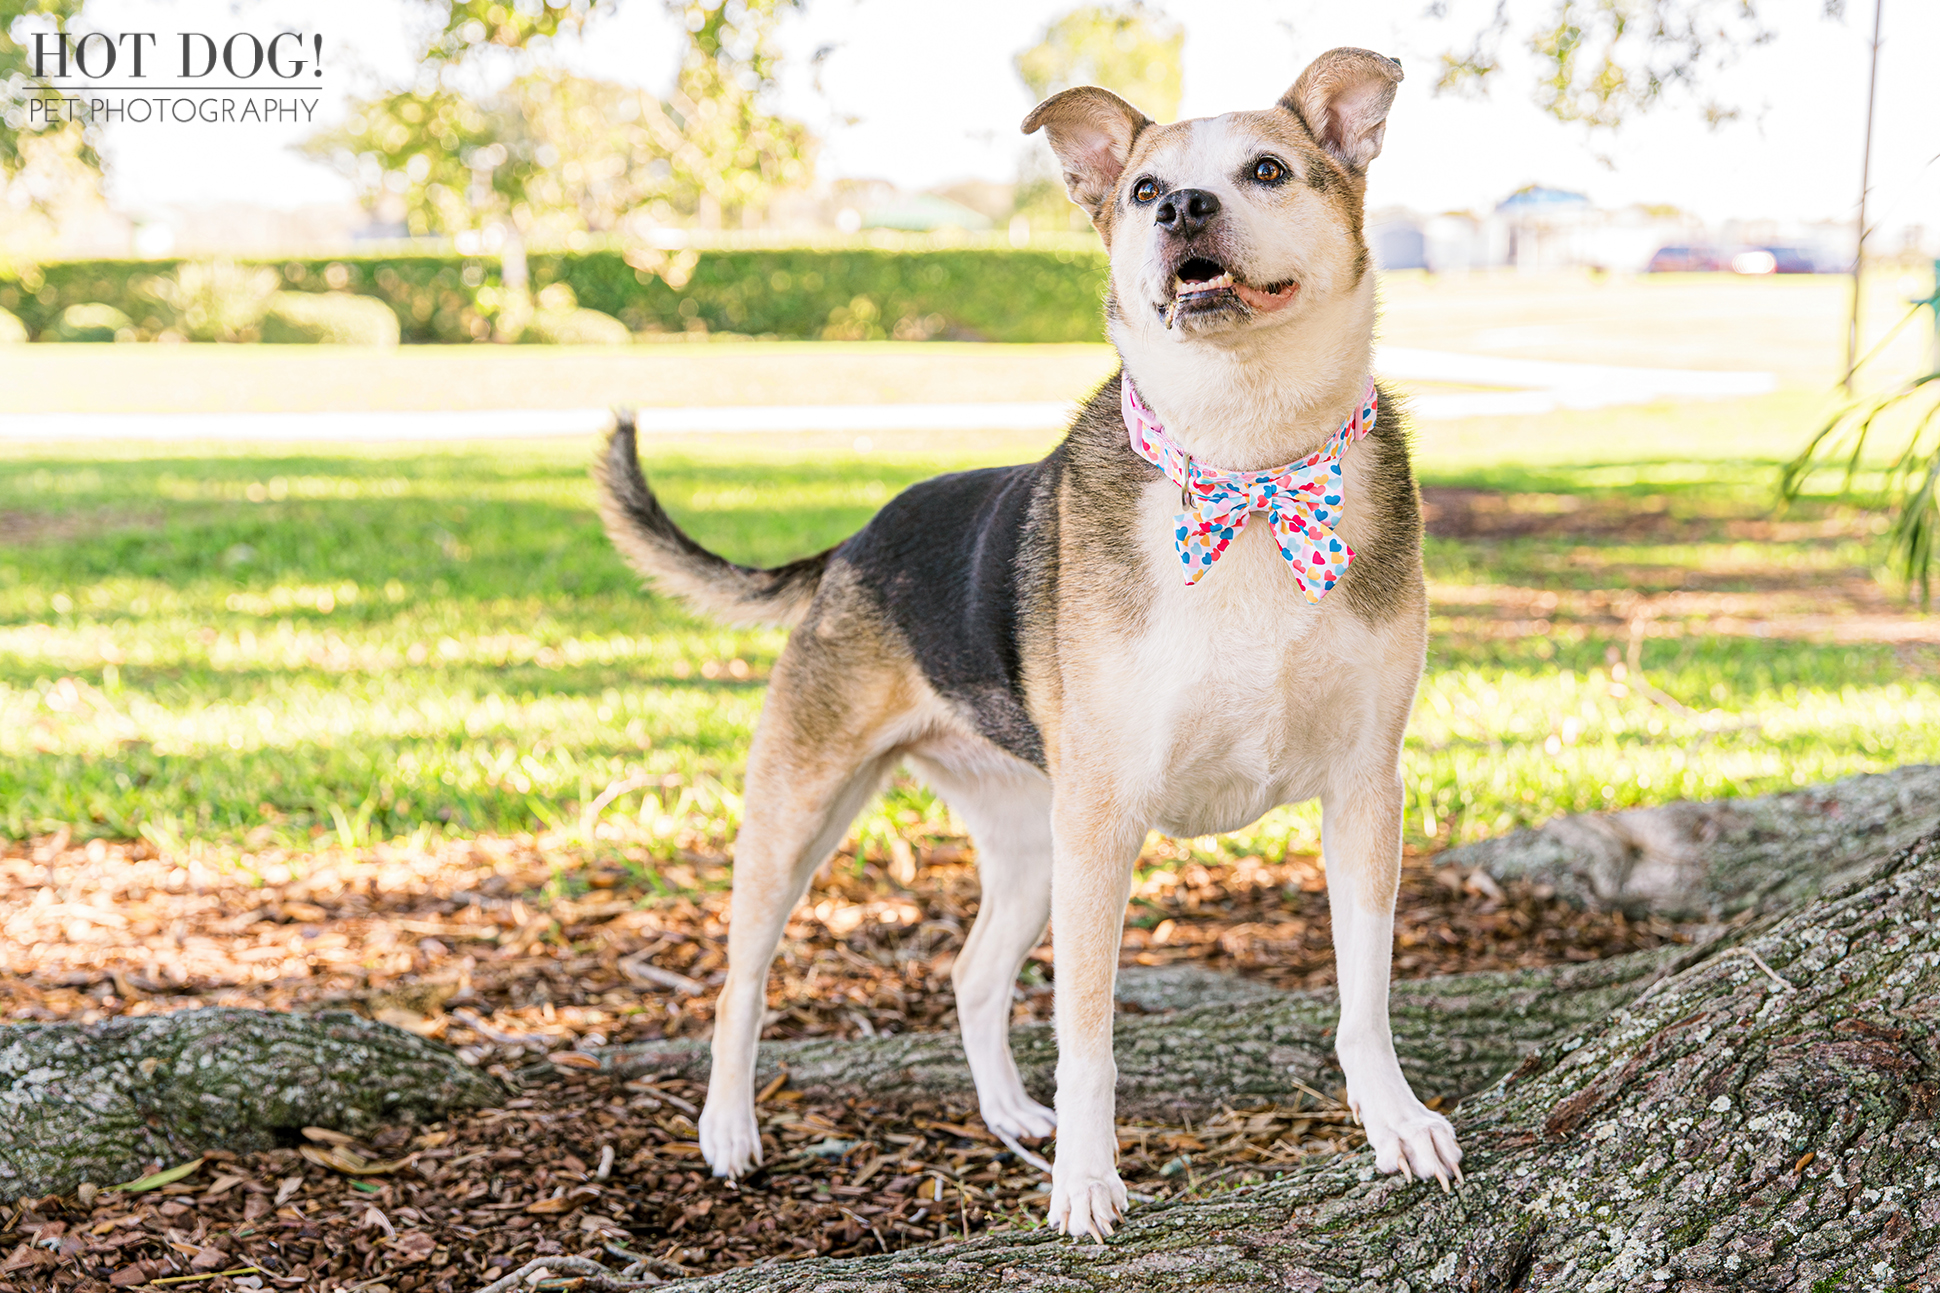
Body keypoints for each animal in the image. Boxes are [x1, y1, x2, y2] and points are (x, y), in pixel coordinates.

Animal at [597, 47, 1458, 1242]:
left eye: (1267, 170)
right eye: (1143, 190)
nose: (1184, 208)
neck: (1242, 465)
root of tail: (852, 540)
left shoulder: (1364, 787)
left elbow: (1364, 997)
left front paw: (1395, 1121)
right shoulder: (1103, 819)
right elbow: (1089, 1032)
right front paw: (1087, 1183)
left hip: (1027, 835)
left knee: (969, 973)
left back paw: (1007, 1114)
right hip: (805, 806)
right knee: (743, 977)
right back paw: (728, 1130)